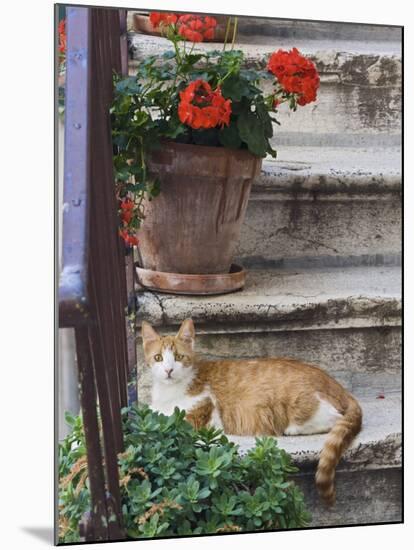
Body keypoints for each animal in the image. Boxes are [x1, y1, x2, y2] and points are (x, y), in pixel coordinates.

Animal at [142, 316, 362, 506]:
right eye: (158, 358)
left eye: (179, 357)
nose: (168, 370)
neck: (168, 393)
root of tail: (337, 385)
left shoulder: (196, 417)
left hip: (300, 404)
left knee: (332, 418)